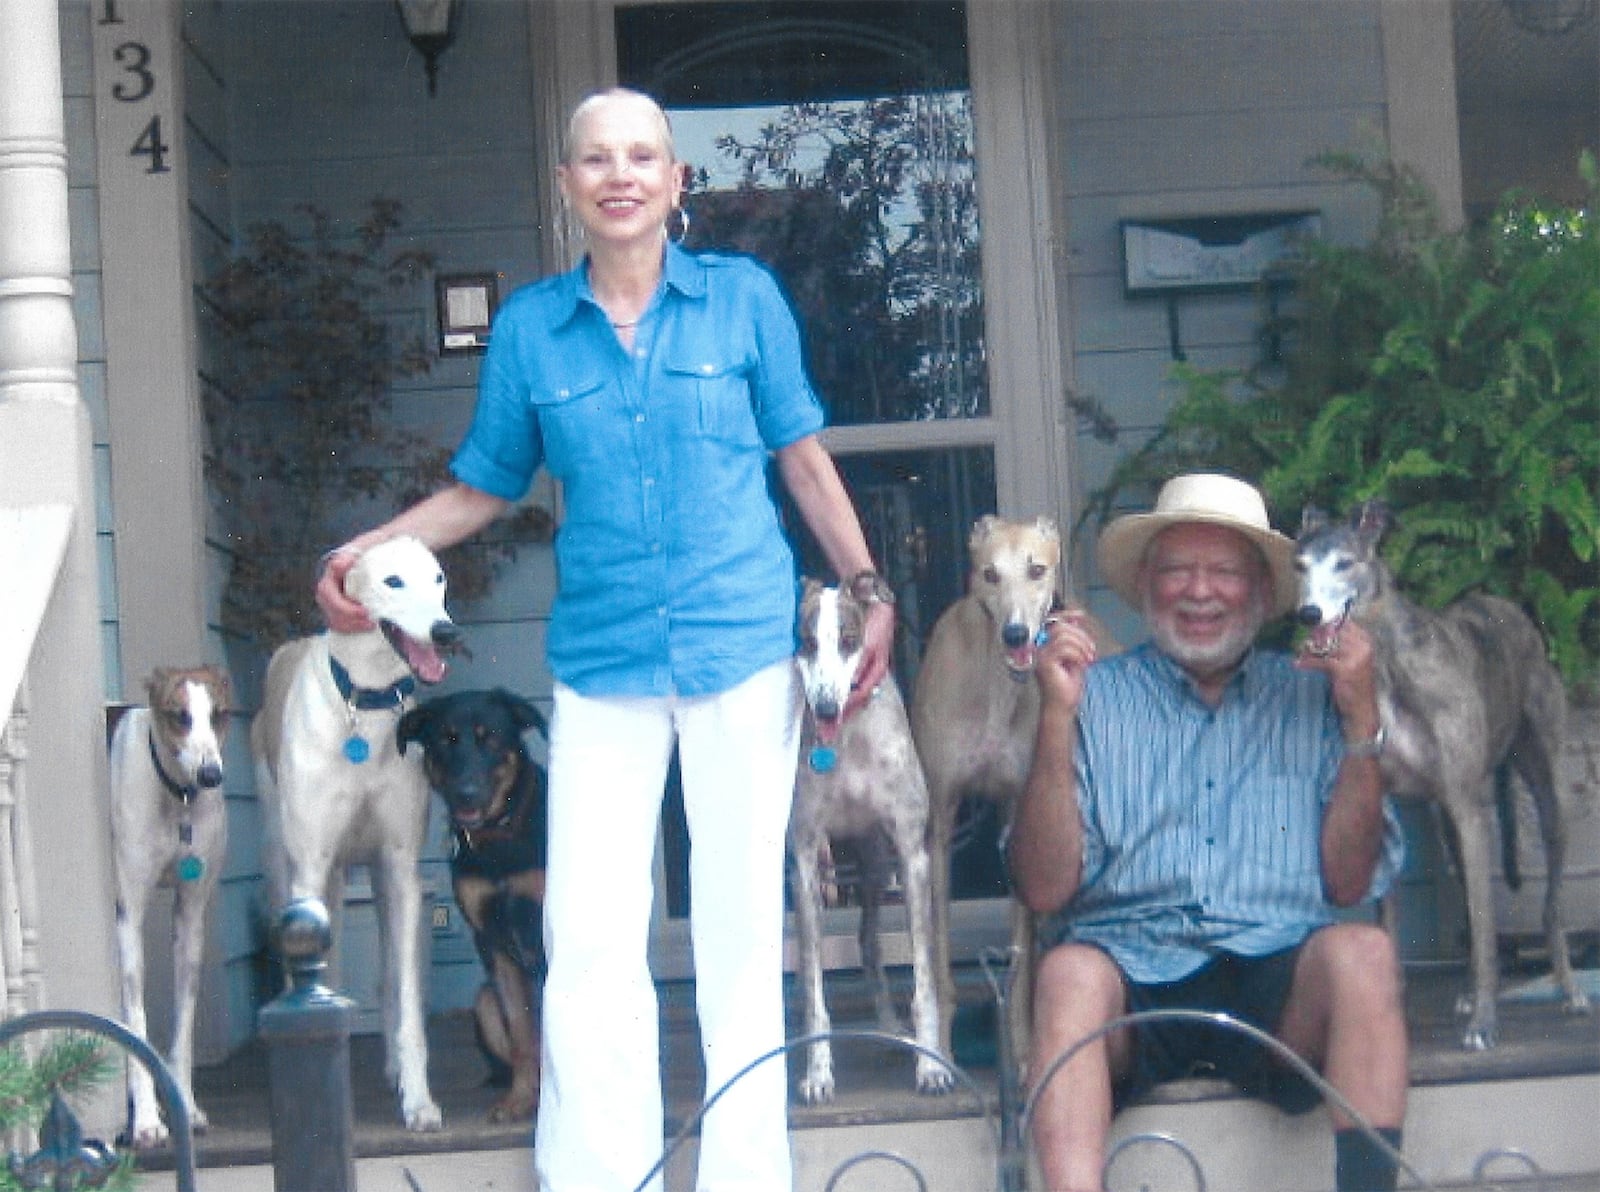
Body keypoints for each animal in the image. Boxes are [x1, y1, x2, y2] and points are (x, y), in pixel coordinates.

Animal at [400, 688, 550, 1113]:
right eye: (445, 740)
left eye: (491, 739)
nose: (465, 793)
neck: (498, 838)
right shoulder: (493, 940)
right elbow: (523, 1033)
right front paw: (519, 1102)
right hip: (484, 1001)